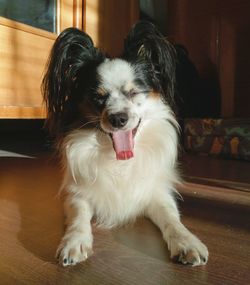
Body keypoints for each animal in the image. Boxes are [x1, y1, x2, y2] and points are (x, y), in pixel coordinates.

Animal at [42, 21, 208, 266]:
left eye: (134, 93)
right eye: (98, 97)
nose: (118, 118)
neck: (118, 159)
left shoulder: (157, 193)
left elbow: (172, 218)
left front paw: (187, 241)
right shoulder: (75, 194)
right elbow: (79, 217)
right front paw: (74, 242)